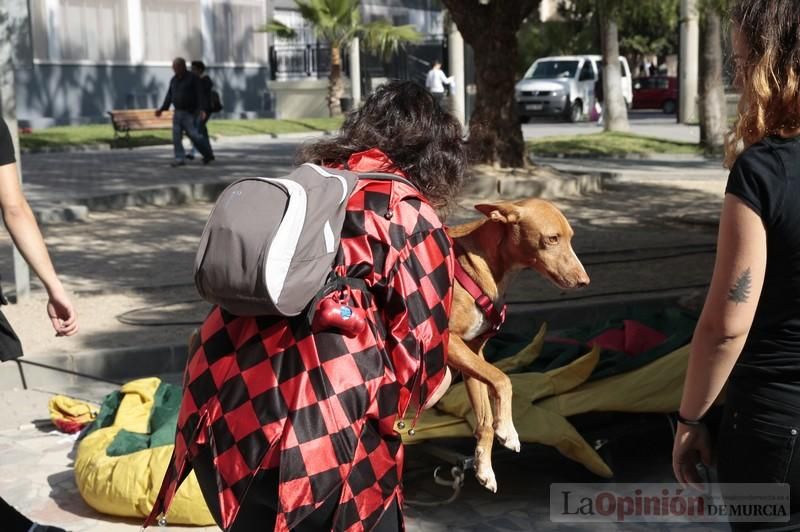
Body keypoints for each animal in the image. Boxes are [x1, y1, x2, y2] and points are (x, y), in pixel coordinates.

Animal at [444, 197, 588, 492]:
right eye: (552, 238)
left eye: (570, 238)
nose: (584, 281)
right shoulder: (452, 342)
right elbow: (503, 379)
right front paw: (508, 430)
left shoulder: (472, 354)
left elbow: (485, 421)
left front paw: (484, 468)